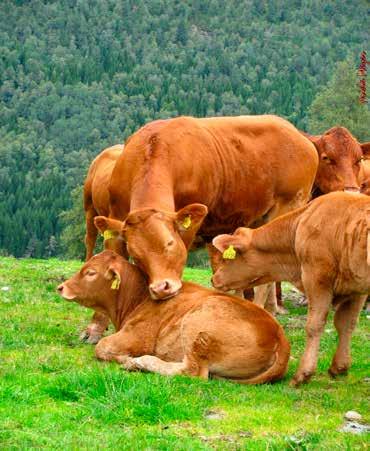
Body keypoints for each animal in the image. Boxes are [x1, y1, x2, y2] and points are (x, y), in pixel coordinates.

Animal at [57, 251, 290, 384]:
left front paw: (127, 358)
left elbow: (102, 347)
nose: (61, 287)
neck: (138, 298)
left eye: (90, 273)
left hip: (199, 323)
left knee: (192, 371)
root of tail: (279, 336)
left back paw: (140, 362)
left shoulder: (137, 336)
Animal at [96, 115, 318, 308]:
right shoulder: (116, 216)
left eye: (170, 243)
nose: (161, 288)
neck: (154, 147)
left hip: (288, 206)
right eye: (135, 254)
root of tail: (297, 134)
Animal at [211, 192, 370, 386]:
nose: (214, 279)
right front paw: (339, 367)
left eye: (228, 258)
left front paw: (303, 374)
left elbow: (314, 325)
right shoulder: (356, 288)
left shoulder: (316, 278)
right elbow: (346, 324)